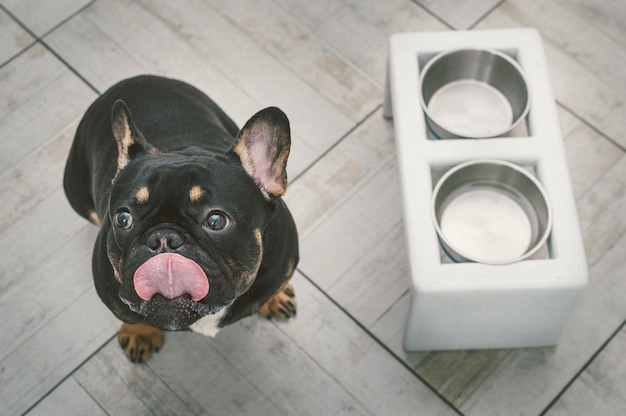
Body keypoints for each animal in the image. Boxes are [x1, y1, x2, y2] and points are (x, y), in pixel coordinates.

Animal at [64, 76, 298, 362]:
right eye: (123, 218)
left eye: (216, 221)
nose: (163, 237)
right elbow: (129, 314)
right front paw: (140, 333)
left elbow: (273, 287)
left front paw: (274, 297)